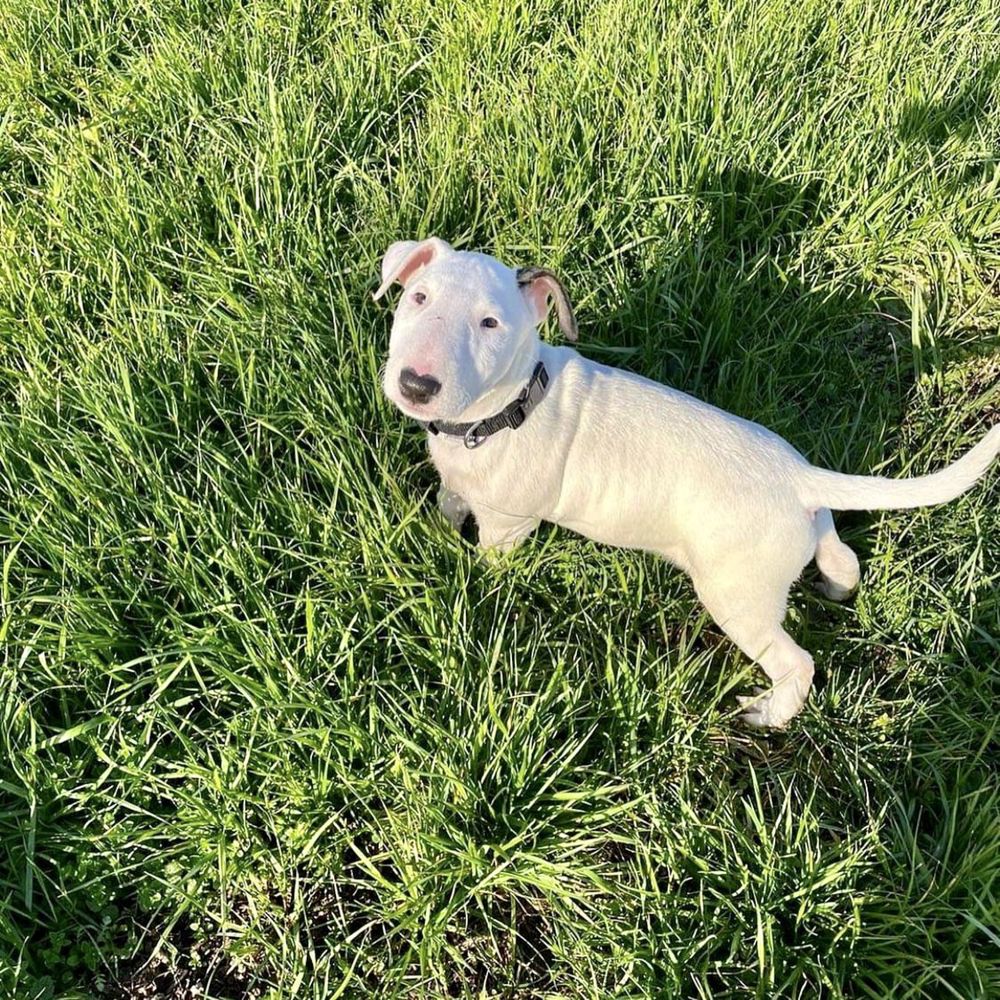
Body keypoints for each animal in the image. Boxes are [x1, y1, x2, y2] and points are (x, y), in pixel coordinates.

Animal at [376, 239, 1000, 732]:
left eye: (491, 324)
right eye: (418, 298)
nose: (416, 385)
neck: (507, 408)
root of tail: (800, 477)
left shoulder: (509, 525)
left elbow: (488, 563)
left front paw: (468, 584)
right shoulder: (461, 483)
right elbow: (448, 501)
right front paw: (432, 532)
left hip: (737, 594)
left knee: (797, 661)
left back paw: (769, 713)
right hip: (803, 534)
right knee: (841, 557)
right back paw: (833, 589)